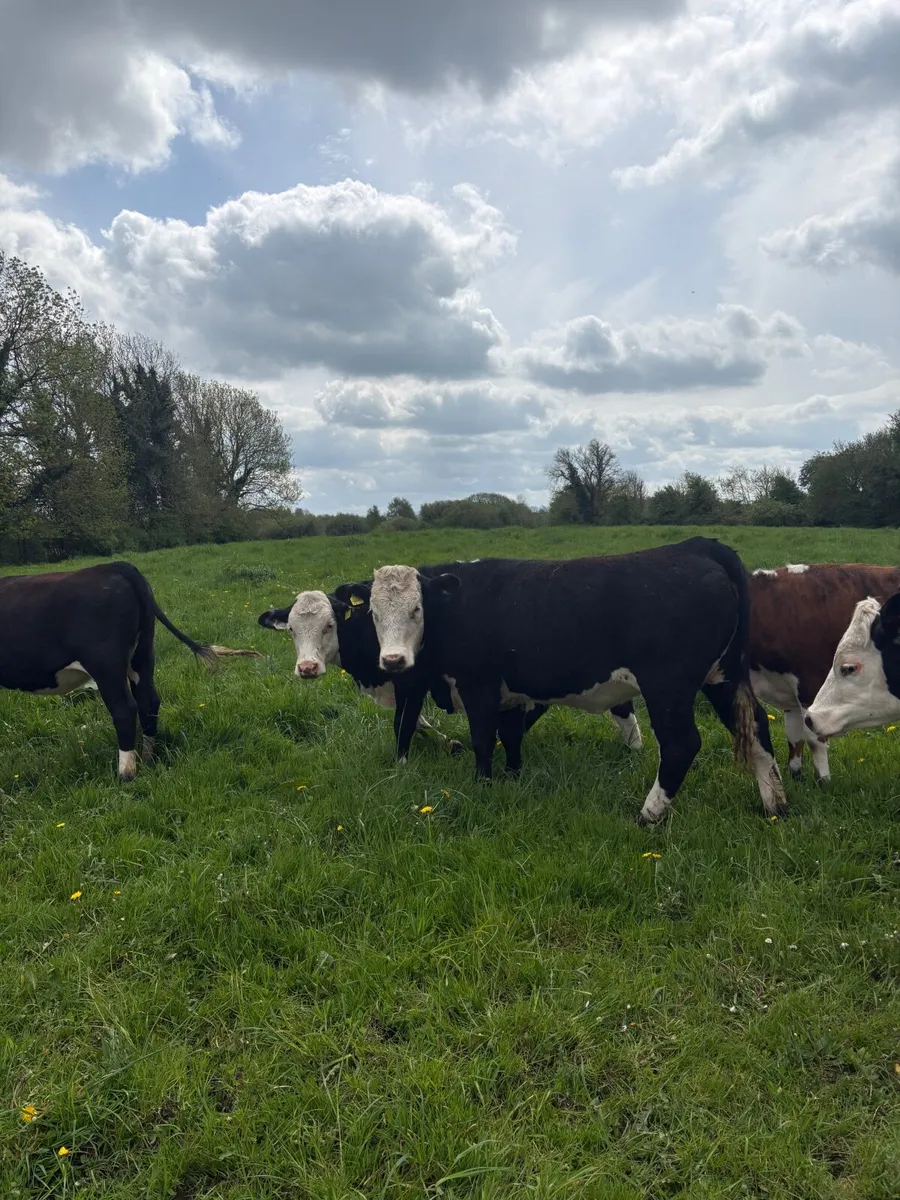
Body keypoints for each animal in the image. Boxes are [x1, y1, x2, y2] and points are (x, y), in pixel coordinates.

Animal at [0, 561, 258, 779]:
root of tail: (112, 566)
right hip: (143, 654)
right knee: (148, 701)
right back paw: (147, 758)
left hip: (105, 664)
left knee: (125, 709)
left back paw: (125, 772)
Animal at [257, 589, 547, 768]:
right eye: (291, 629)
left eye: (329, 625)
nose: (307, 667)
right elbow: (418, 721)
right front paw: (449, 743)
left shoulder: (412, 683)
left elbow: (403, 723)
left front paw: (401, 765)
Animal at [337, 537, 787, 825]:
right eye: (374, 612)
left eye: (417, 608)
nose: (393, 660)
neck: (456, 606)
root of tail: (695, 546)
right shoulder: (511, 693)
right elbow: (510, 736)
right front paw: (513, 776)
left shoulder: (478, 684)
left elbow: (482, 738)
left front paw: (483, 784)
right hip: (724, 677)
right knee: (758, 729)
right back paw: (775, 806)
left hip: (668, 686)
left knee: (681, 745)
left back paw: (648, 815)